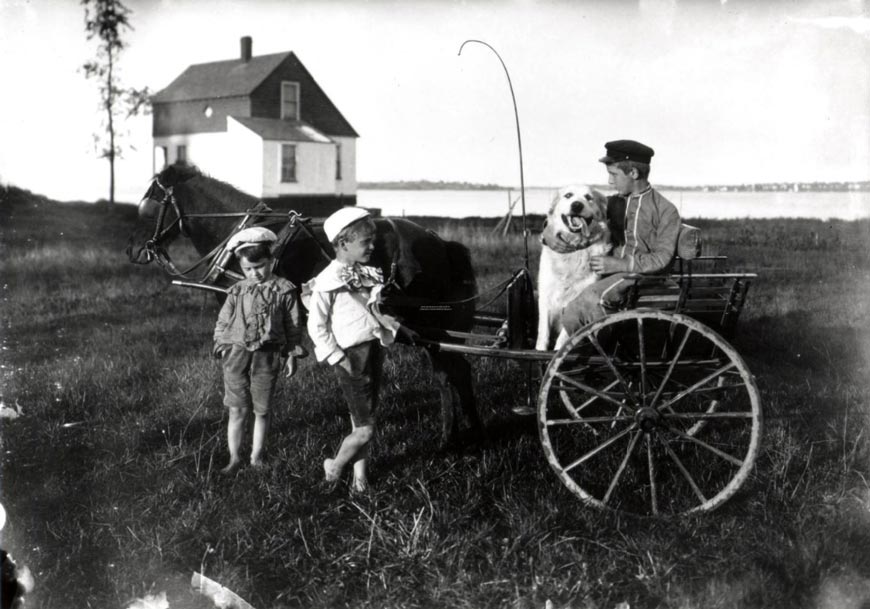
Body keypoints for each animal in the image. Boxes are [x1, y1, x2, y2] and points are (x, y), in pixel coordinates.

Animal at [127, 164, 488, 444]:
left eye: (150, 204)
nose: (135, 248)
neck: (239, 237)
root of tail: (438, 241)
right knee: (456, 371)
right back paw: (470, 429)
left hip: (428, 324)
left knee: (448, 373)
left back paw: (452, 435)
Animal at [540, 183, 612, 350]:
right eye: (568, 195)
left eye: (588, 197)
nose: (577, 205)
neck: (574, 248)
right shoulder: (545, 295)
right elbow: (543, 333)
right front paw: (539, 351)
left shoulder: (576, 302)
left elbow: (565, 338)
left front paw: (556, 352)